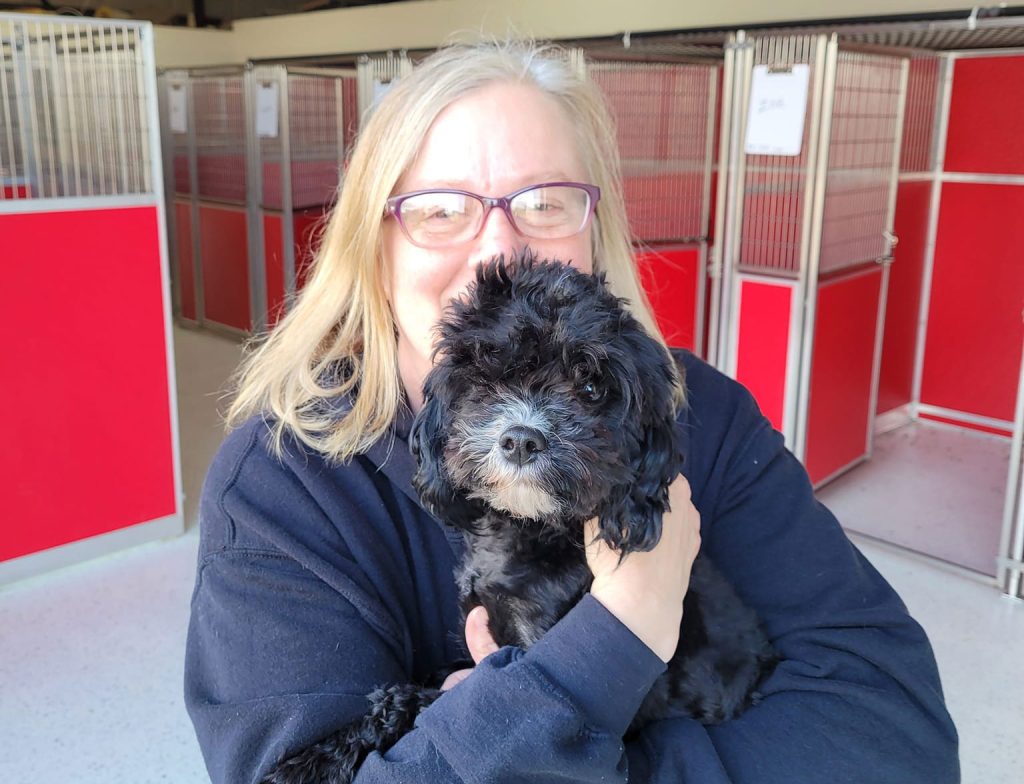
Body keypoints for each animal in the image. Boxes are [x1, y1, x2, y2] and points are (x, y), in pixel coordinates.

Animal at [264, 254, 774, 781]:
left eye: (591, 387)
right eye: (489, 376)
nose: (522, 439)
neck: (528, 529)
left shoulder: (537, 644)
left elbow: (439, 699)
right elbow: (428, 686)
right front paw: (323, 752)